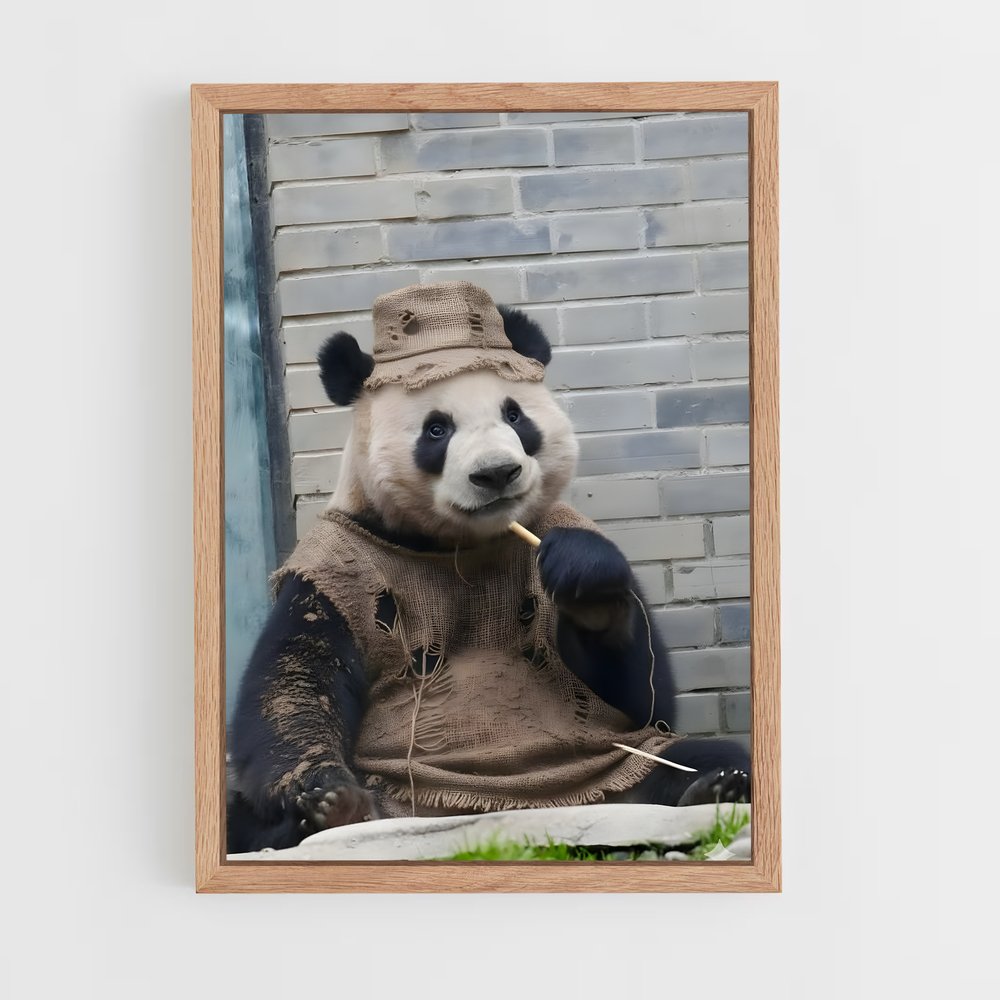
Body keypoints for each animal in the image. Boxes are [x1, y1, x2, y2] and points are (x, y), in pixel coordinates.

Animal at [227, 282, 750, 854]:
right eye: (436, 430)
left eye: (516, 416)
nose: (498, 473)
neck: (454, 544)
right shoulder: (335, 564)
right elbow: (294, 682)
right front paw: (327, 792)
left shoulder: (560, 526)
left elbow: (644, 699)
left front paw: (584, 579)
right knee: (239, 811)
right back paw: (332, 816)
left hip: (606, 768)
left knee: (685, 757)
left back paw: (713, 788)